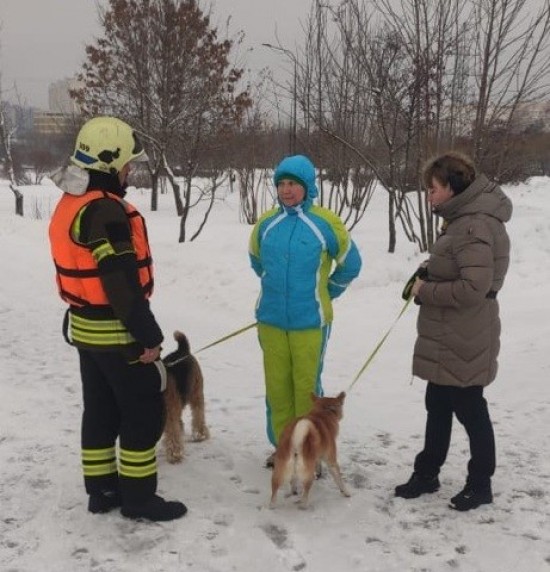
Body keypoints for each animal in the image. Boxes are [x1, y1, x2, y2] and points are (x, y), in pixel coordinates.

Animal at [163, 330, 210, 464]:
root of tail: (182, 350)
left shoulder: (169, 415)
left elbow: (173, 434)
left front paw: (174, 455)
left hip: (196, 392)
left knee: (198, 413)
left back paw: (200, 434)